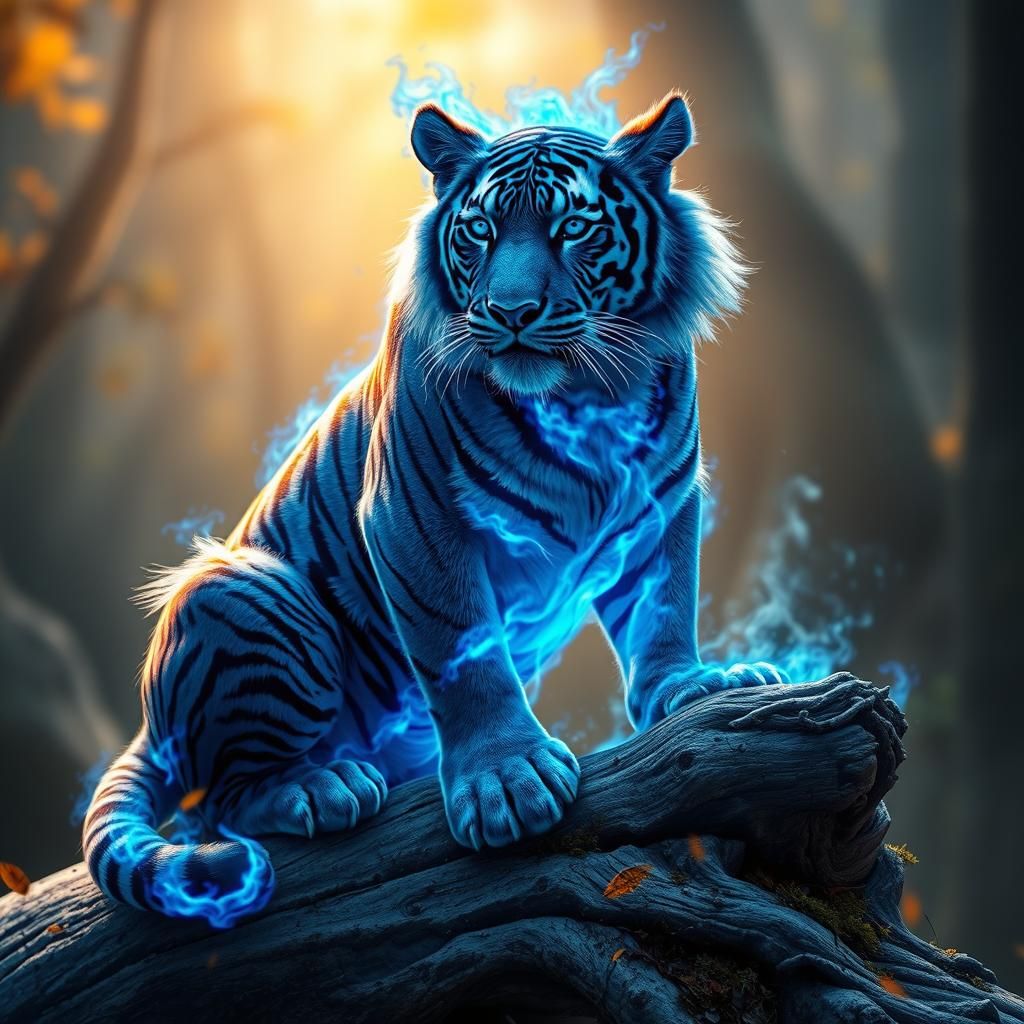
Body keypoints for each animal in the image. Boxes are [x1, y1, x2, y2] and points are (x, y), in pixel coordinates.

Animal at [83, 92, 787, 925]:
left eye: (572, 228)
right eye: (480, 230)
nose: (511, 310)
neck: (586, 395)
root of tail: (145, 724)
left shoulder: (662, 501)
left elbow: (665, 609)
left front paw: (694, 687)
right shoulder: (415, 518)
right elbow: (465, 652)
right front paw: (506, 781)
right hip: (242, 588)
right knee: (218, 803)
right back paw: (318, 786)